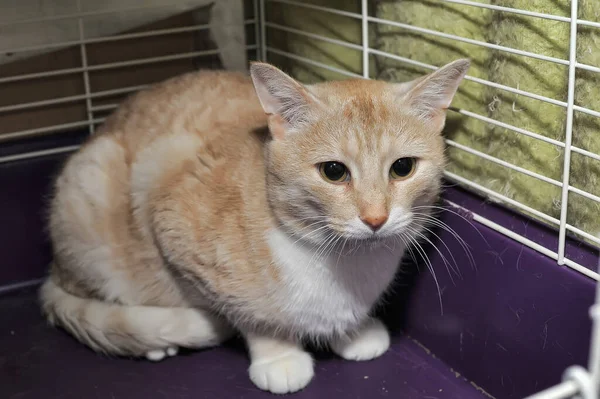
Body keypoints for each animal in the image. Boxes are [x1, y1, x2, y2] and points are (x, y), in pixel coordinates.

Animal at [39, 57, 472, 396]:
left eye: (403, 167)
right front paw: (279, 355)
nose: (375, 218)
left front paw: (353, 332)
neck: (341, 261)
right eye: (333, 171)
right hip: (91, 192)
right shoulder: (174, 223)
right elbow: (252, 316)